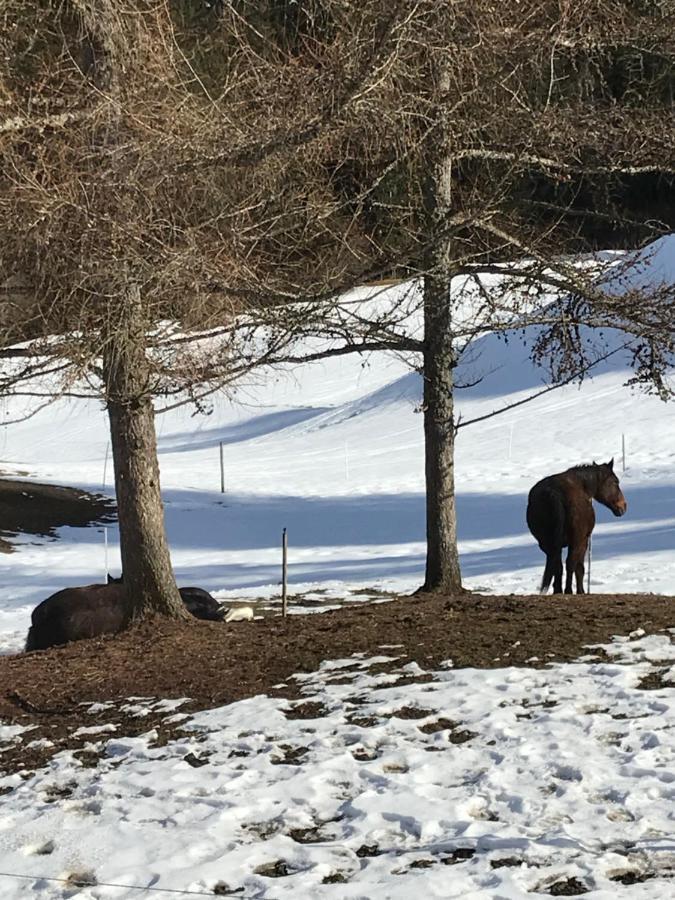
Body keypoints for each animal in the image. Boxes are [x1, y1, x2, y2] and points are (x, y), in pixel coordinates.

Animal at [528, 460, 628, 596]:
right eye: (615, 482)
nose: (623, 506)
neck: (583, 485)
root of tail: (554, 493)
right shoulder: (583, 541)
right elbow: (579, 567)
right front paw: (581, 591)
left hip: (546, 544)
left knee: (557, 565)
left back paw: (558, 591)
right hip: (576, 541)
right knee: (570, 563)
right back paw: (568, 590)